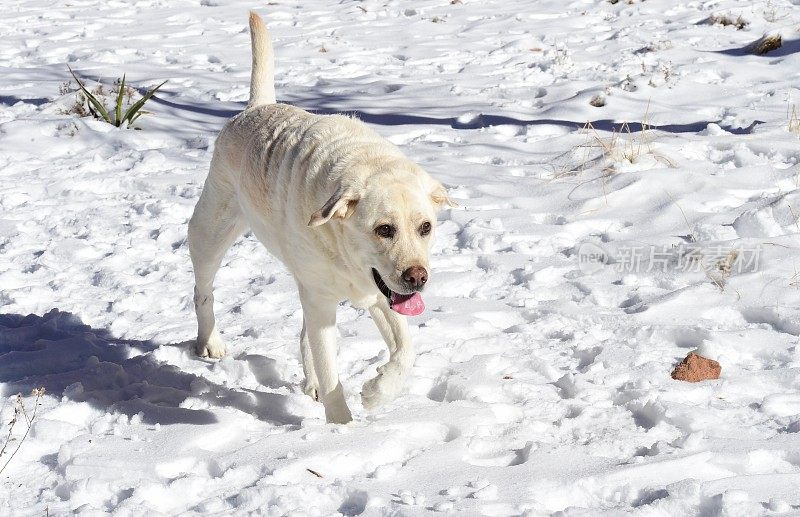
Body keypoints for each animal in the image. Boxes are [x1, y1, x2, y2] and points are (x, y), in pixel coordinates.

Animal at [186, 13, 450, 424]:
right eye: (384, 229)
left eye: (425, 227)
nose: (417, 277)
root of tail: (257, 106)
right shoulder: (325, 299)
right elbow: (332, 377)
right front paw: (342, 431)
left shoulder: (376, 294)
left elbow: (405, 350)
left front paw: (376, 393)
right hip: (211, 233)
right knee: (204, 291)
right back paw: (210, 342)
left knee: (303, 334)